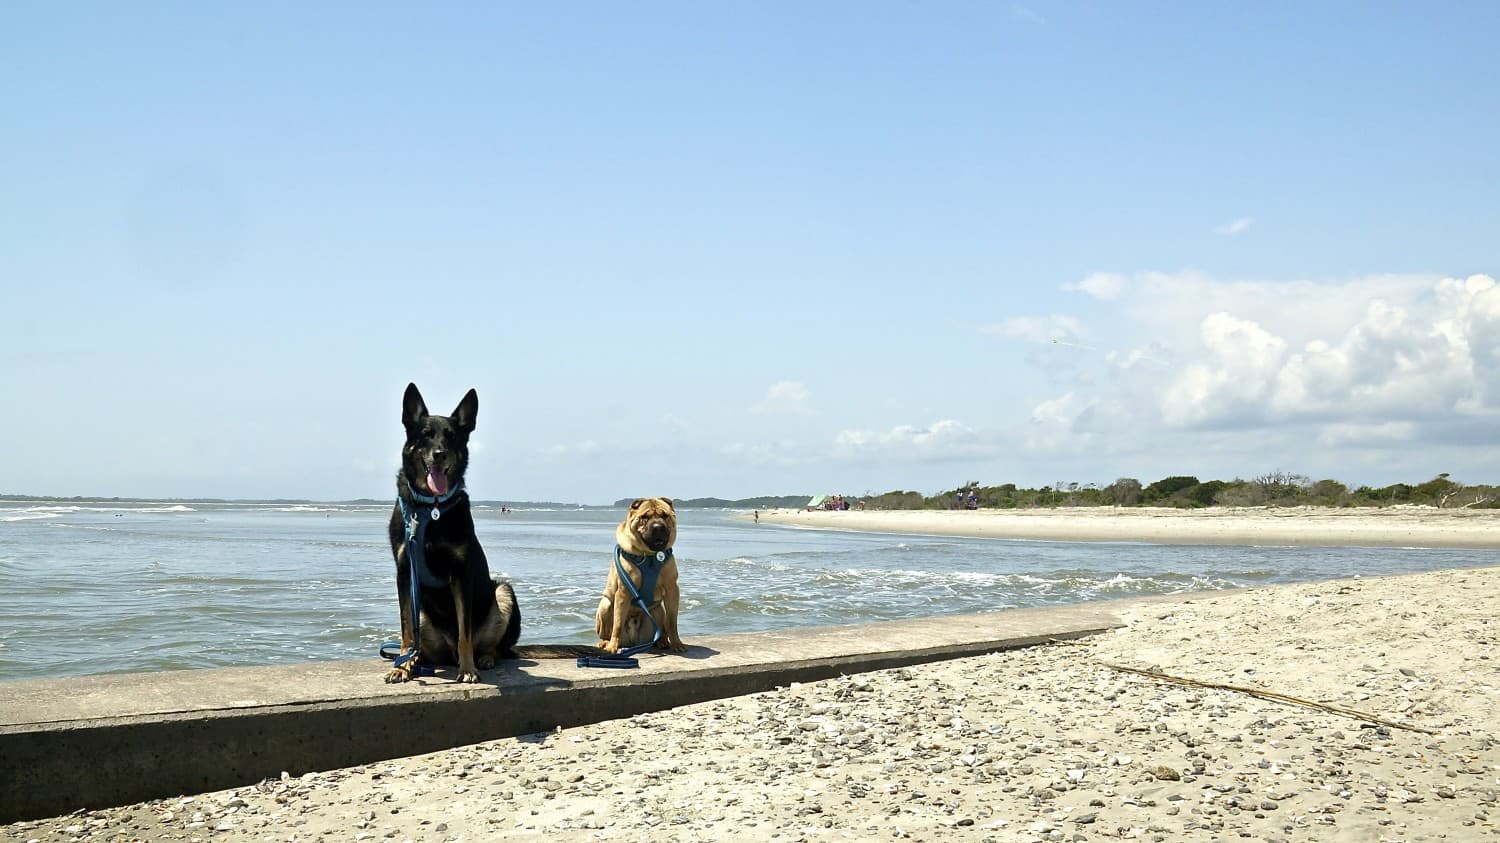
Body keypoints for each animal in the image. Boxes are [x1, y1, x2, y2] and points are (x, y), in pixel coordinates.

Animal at [384, 384, 519, 678]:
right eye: (425, 434)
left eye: (452, 437)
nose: (439, 453)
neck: (430, 509)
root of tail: (446, 653)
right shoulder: (404, 572)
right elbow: (405, 627)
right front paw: (402, 665)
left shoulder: (461, 574)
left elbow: (464, 631)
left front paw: (467, 669)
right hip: (423, 615)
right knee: (420, 641)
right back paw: (415, 659)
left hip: (503, 592)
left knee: (497, 647)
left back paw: (485, 658)